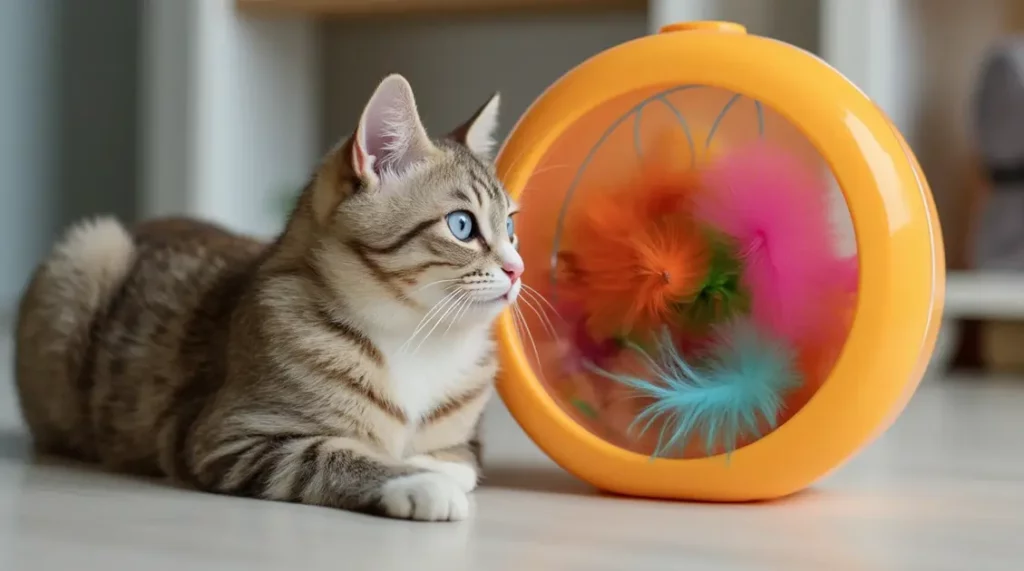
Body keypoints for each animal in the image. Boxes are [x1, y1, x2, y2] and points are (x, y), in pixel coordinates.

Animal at [14, 73, 528, 521]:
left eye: (510, 227)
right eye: (461, 225)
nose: (517, 268)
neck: (419, 336)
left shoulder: (467, 435)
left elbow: (461, 458)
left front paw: (433, 466)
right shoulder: (228, 436)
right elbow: (329, 455)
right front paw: (417, 481)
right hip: (90, 247)